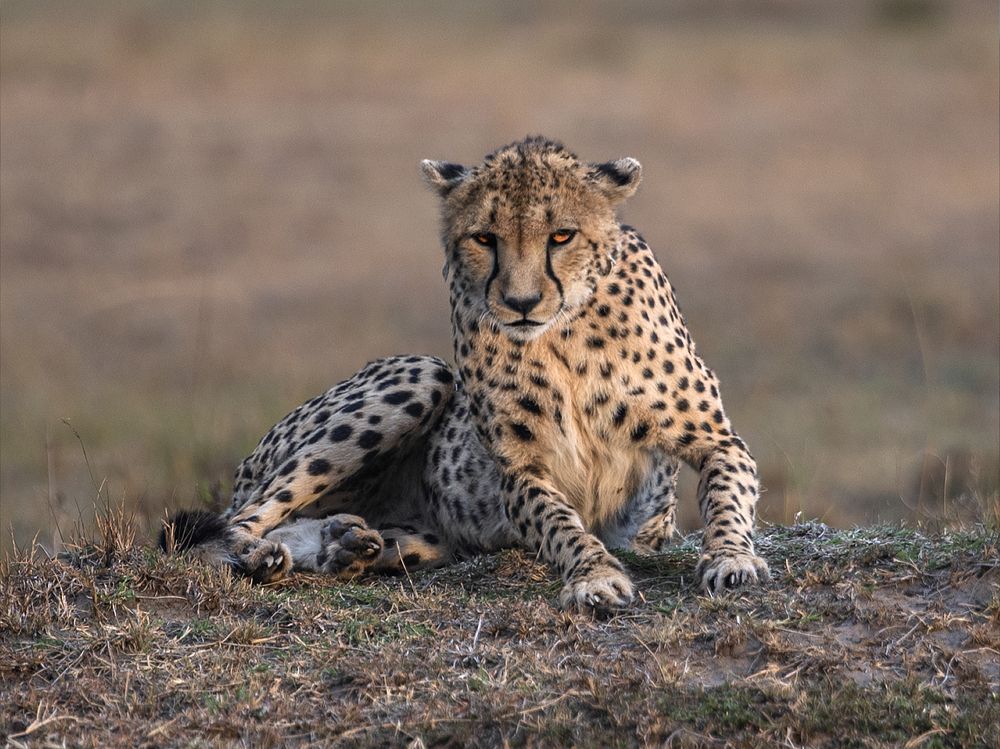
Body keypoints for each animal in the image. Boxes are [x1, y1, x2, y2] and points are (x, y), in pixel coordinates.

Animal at [161, 136, 769, 612]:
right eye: (484, 238)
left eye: (562, 236)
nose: (520, 303)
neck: (565, 335)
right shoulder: (519, 472)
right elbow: (560, 522)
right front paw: (594, 577)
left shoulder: (718, 441)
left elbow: (726, 497)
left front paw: (732, 559)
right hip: (423, 373)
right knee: (236, 522)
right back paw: (264, 553)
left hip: (424, 532)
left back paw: (344, 542)